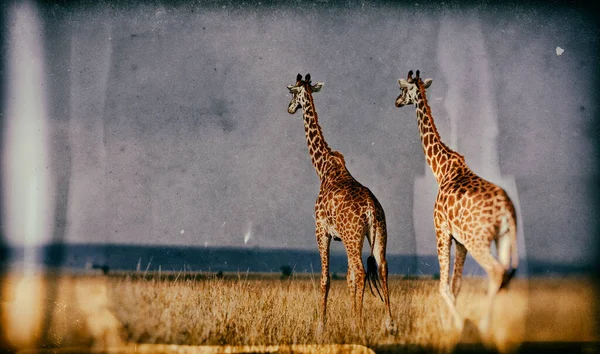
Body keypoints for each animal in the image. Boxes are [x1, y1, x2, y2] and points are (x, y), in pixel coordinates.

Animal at [288, 73, 396, 334]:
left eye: (292, 92)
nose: (289, 108)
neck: (323, 168)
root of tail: (370, 209)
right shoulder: (342, 237)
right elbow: (347, 278)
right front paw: (350, 317)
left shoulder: (321, 230)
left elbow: (326, 278)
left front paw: (321, 325)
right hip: (377, 233)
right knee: (382, 266)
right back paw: (389, 323)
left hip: (352, 235)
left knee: (360, 271)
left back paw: (360, 324)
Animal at [394, 70, 520, 334]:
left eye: (402, 89)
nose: (396, 102)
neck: (441, 169)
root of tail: (507, 210)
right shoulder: (460, 240)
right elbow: (456, 286)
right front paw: (452, 324)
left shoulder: (441, 229)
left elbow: (444, 287)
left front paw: (456, 326)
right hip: (503, 238)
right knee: (504, 276)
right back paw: (497, 329)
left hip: (478, 240)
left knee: (495, 272)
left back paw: (484, 326)